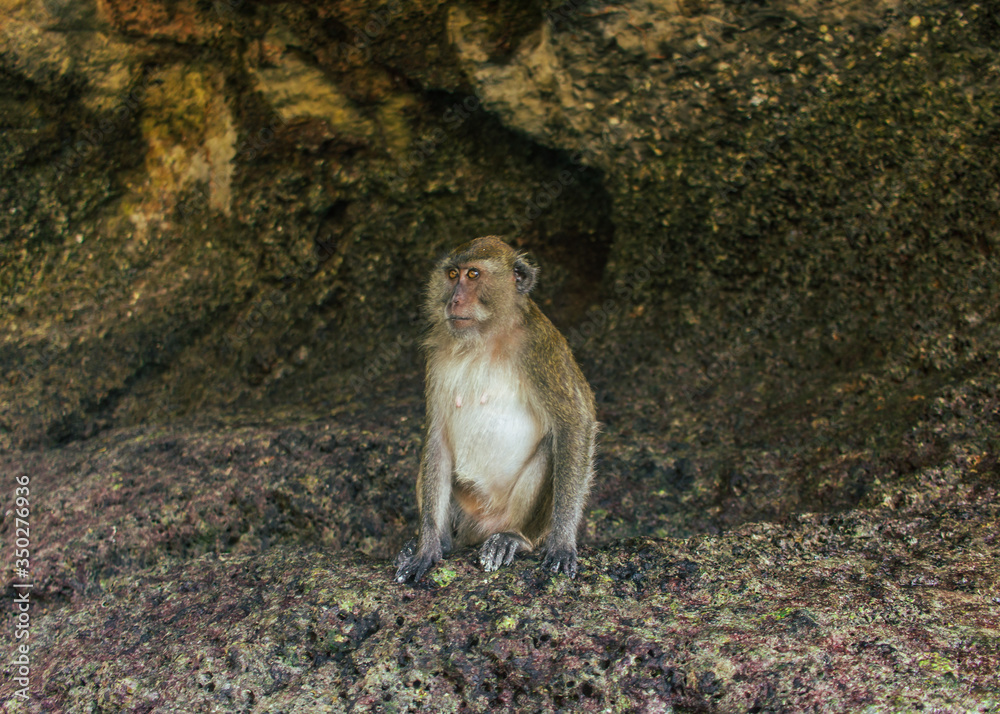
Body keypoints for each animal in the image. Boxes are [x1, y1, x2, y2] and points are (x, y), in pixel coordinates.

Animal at [395, 236, 597, 583]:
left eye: (473, 275)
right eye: (452, 274)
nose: (454, 300)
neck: (485, 336)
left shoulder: (541, 345)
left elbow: (574, 422)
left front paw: (561, 542)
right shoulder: (437, 355)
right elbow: (437, 438)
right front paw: (428, 544)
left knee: (551, 448)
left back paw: (515, 538)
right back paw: (443, 541)